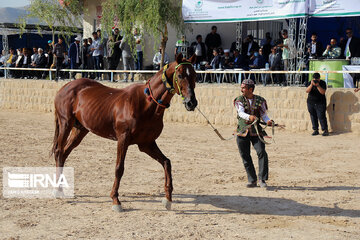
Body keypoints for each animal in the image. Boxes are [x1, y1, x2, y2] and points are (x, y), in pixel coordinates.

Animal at [51, 53, 197, 211]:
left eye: (195, 75)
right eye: (180, 75)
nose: (191, 102)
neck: (146, 103)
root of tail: (65, 87)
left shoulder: (146, 144)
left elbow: (166, 162)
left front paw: (168, 199)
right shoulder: (123, 139)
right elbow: (119, 168)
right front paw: (115, 200)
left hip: (80, 130)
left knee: (64, 153)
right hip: (65, 123)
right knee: (59, 152)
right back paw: (58, 190)